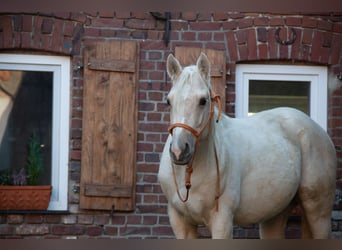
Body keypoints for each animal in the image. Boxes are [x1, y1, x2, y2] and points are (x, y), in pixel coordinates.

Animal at [158, 52, 336, 238]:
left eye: (203, 101)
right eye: (169, 101)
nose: (179, 151)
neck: (189, 174)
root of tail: (316, 129)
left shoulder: (222, 221)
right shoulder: (181, 222)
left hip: (318, 211)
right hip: (276, 212)